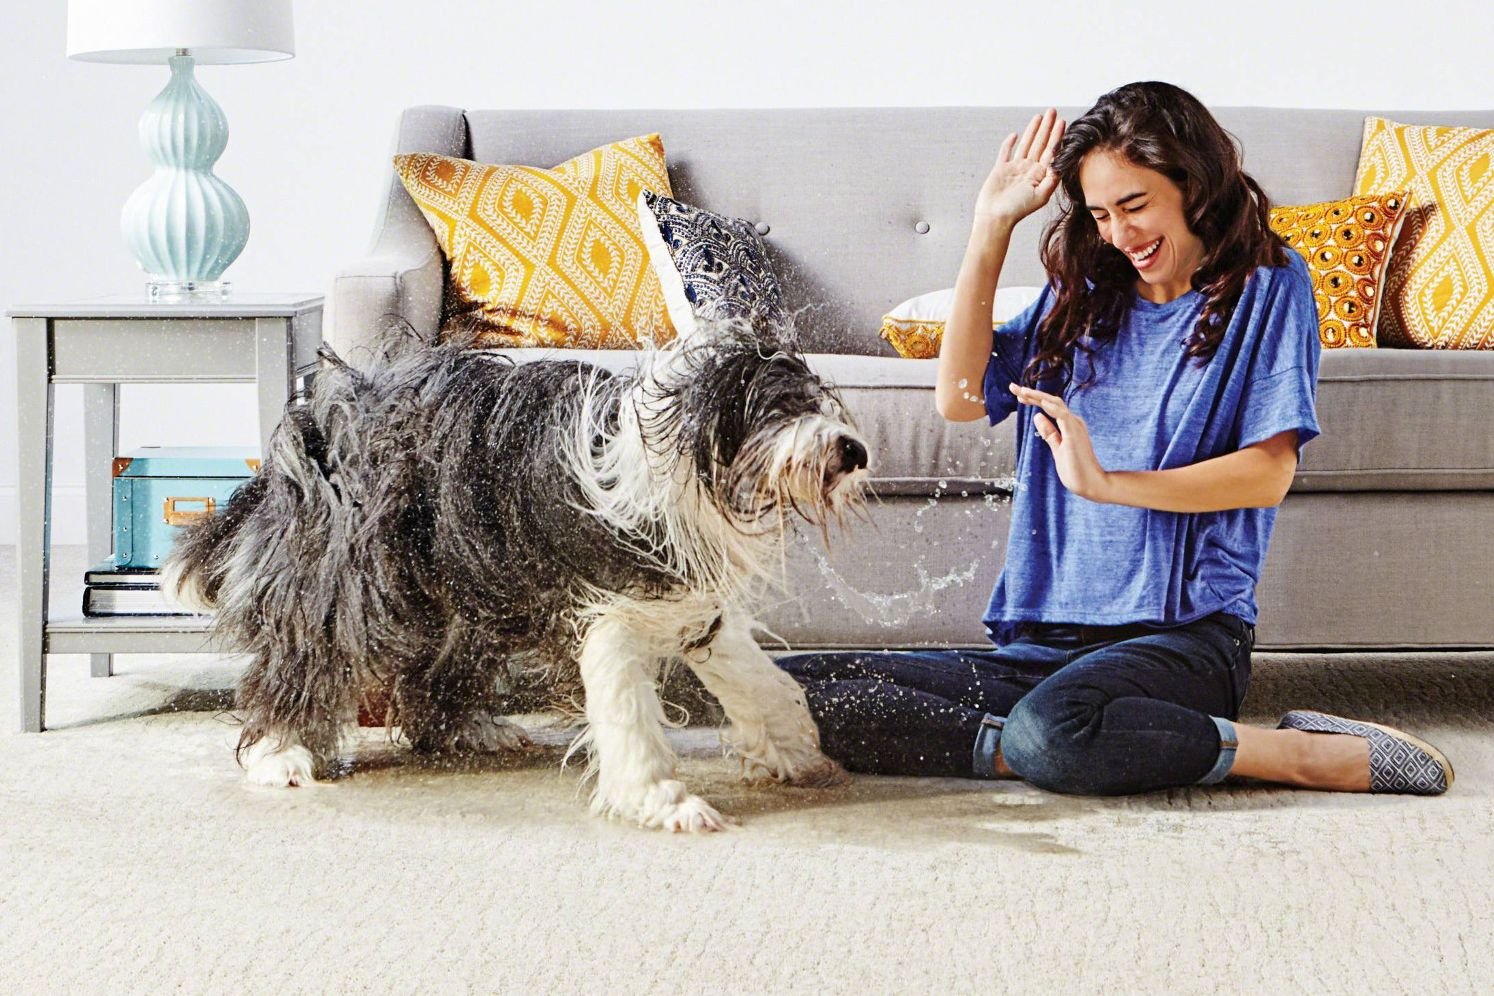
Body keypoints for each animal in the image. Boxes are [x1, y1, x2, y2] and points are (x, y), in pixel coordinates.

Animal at [162, 321, 866, 836]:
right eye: (780, 406)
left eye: (817, 400)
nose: (854, 451)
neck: (673, 452)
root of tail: (312, 423)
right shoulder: (608, 604)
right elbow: (627, 711)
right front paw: (665, 802)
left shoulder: (685, 600)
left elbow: (758, 682)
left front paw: (796, 754)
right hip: (353, 578)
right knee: (309, 652)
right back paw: (279, 753)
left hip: (462, 585)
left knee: (438, 667)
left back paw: (471, 729)